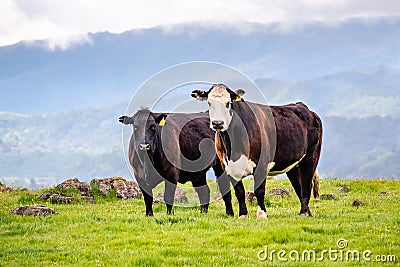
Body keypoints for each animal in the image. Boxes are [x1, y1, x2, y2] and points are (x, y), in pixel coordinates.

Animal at [192, 85, 324, 219]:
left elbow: (259, 190)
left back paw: (304, 213)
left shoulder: (261, 164)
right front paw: (243, 214)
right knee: (298, 186)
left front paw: (262, 214)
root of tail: (303, 107)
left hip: (311, 157)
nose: (217, 123)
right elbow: (239, 191)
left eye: (228, 103)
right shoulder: (228, 167)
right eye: (209, 103)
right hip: (292, 163)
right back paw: (306, 212)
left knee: (306, 185)